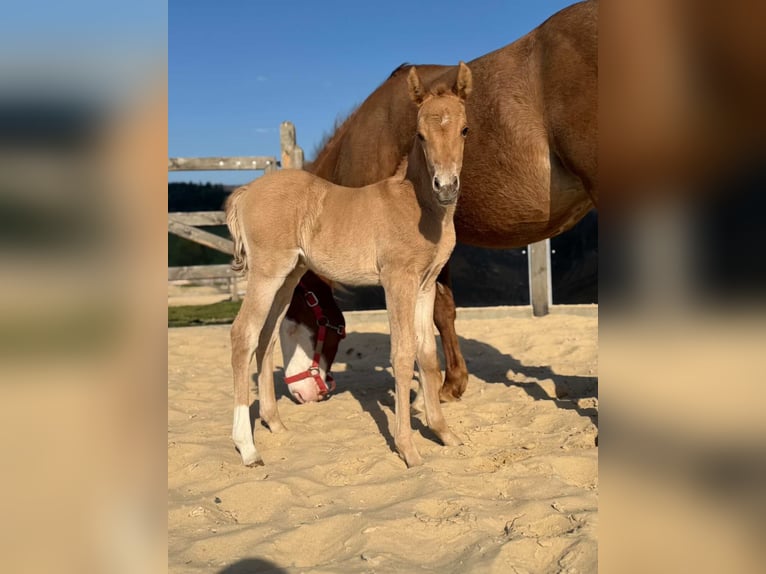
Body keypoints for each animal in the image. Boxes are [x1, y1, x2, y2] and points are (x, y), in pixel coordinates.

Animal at [225, 63, 473, 468]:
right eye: (420, 134)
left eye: (465, 129)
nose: (446, 186)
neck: (416, 204)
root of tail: (246, 191)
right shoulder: (397, 281)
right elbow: (402, 354)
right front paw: (408, 449)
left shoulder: (424, 285)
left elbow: (426, 356)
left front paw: (445, 434)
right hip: (266, 273)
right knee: (243, 335)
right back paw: (247, 448)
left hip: (288, 277)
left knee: (265, 337)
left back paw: (275, 423)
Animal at [279, 0, 598, 402]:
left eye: (293, 319)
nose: (299, 392)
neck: (370, 138)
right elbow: (441, 310)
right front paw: (451, 382)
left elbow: (432, 311)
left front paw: (435, 387)